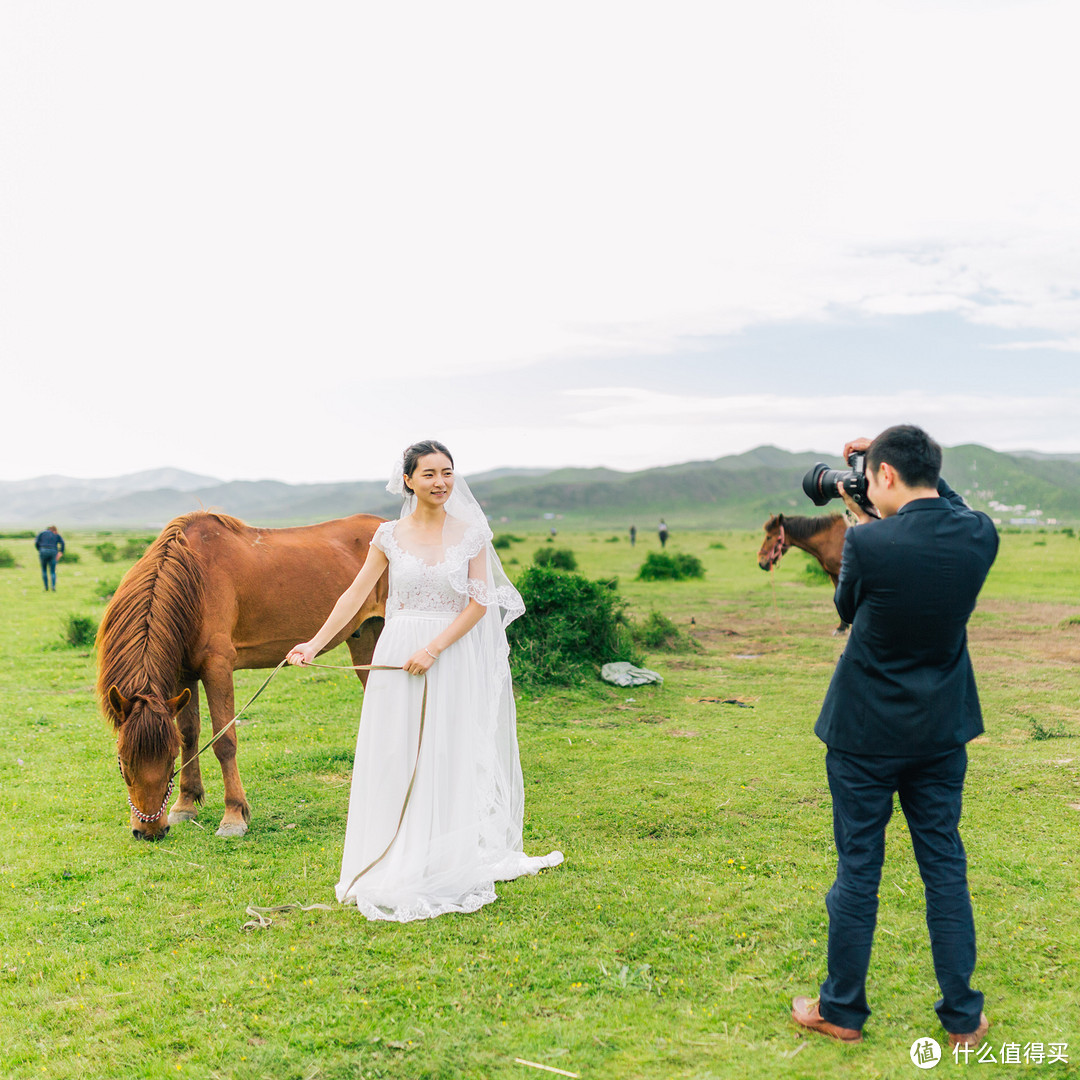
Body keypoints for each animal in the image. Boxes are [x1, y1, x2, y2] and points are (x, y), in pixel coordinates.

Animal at [95, 514, 386, 842]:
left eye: (169, 759)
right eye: (123, 761)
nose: (150, 832)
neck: (195, 580)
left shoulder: (218, 668)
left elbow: (224, 741)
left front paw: (233, 816)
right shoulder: (184, 674)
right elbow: (189, 734)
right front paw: (185, 805)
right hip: (366, 639)